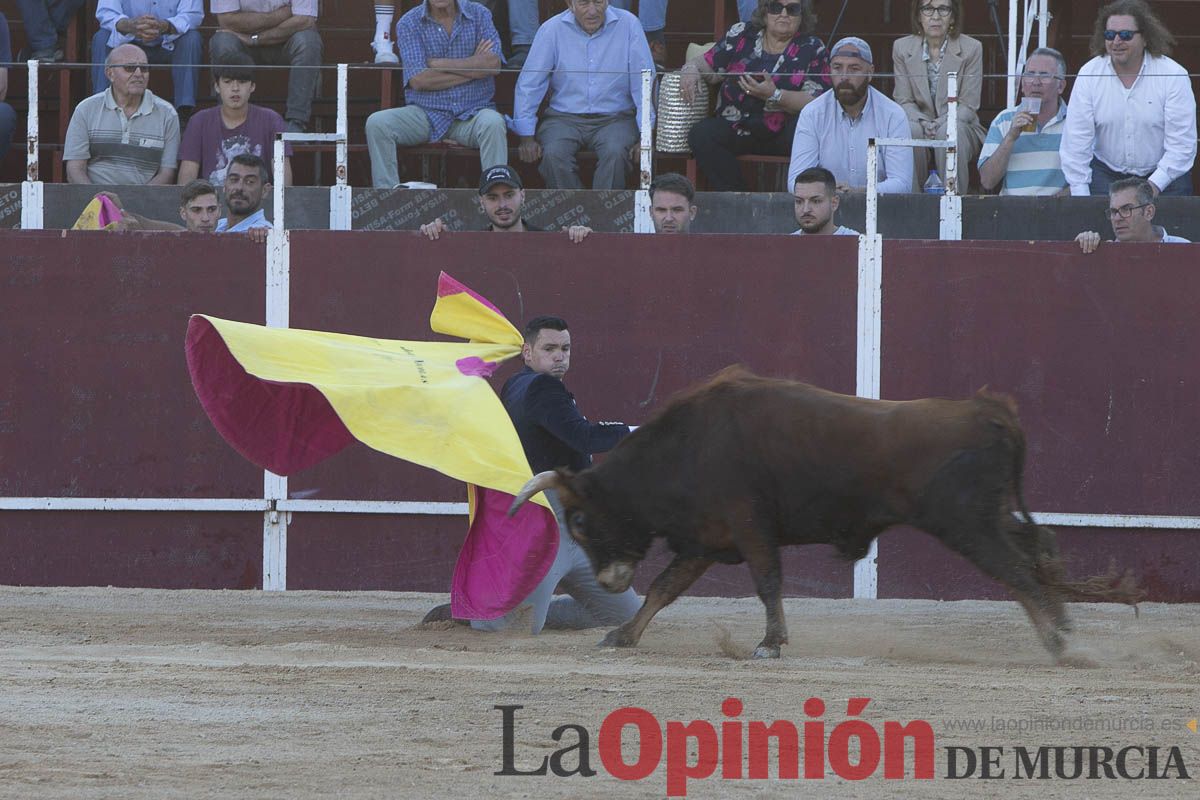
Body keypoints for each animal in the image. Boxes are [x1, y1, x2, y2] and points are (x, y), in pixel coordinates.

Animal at [508, 367, 1142, 662]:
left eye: (579, 521)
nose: (611, 580)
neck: (685, 447)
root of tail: (986, 409)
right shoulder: (707, 540)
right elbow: (665, 588)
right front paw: (622, 634)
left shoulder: (749, 526)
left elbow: (767, 582)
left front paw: (770, 644)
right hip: (991, 516)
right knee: (1040, 553)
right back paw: (1064, 628)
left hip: (967, 524)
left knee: (1016, 571)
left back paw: (1059, 643)